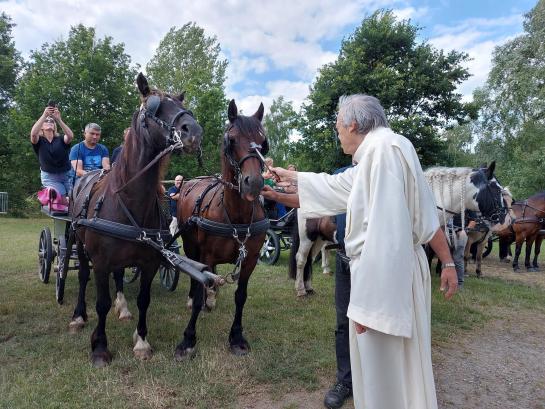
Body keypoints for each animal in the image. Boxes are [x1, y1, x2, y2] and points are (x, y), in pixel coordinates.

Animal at [68, 73, 203, 366]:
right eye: (154, 107)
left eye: (180, 104)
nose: (194, 132)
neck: (128, 199)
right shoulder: (101, 262)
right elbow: (101, 303)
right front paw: (100, 347)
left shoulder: (150, 262)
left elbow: (144, 299)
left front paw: (141, 341)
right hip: (78, 242)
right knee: (82, 276)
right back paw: (78, 316)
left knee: (119, 276)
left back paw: (123, 307)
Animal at [176, 99, 268, 356]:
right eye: (232, 140)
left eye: (263, 141)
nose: (253, 183)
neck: (236, 217)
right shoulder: (205, 255)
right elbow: (198, 290)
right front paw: (188, 339)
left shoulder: (250, 259)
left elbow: (241, 296)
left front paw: (236, 337)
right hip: (190, 244)